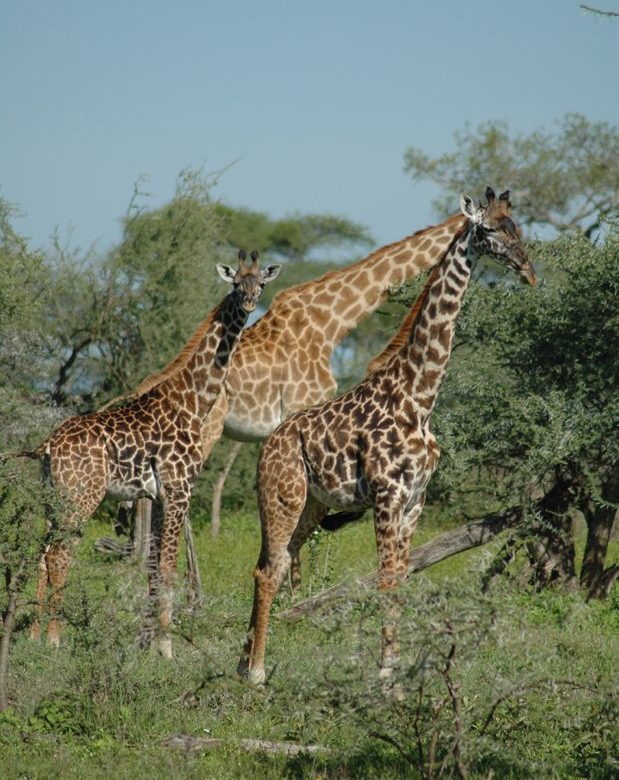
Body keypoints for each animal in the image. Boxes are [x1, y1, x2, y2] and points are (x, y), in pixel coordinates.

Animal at [21, 253, 282, 656]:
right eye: (236, 283)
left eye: (262, 283)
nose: (250, 302)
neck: (192, 402)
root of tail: (47, 446)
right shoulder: (179, 491)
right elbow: (170, 568)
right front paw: (166, 647)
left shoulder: (157, 496)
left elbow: (155, 567)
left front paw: (149, 644)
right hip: (81, 497)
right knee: (59, 555)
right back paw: (54, 638)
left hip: (53, 498)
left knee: (41, 556)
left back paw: (34, 635)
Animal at [237, 187, 536, 684]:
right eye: (491, 229)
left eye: (518, 228)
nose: (528, 270)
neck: (419, 397)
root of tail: (269, 445)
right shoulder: (386, 495)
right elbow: (384, 581)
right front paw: (384, 673)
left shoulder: (415, 501)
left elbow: (401, 580)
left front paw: (395, 668)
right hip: (283, 497)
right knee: (269, 570)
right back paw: (257, 673)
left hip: (312, 505)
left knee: (271, 562)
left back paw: (243, 661)